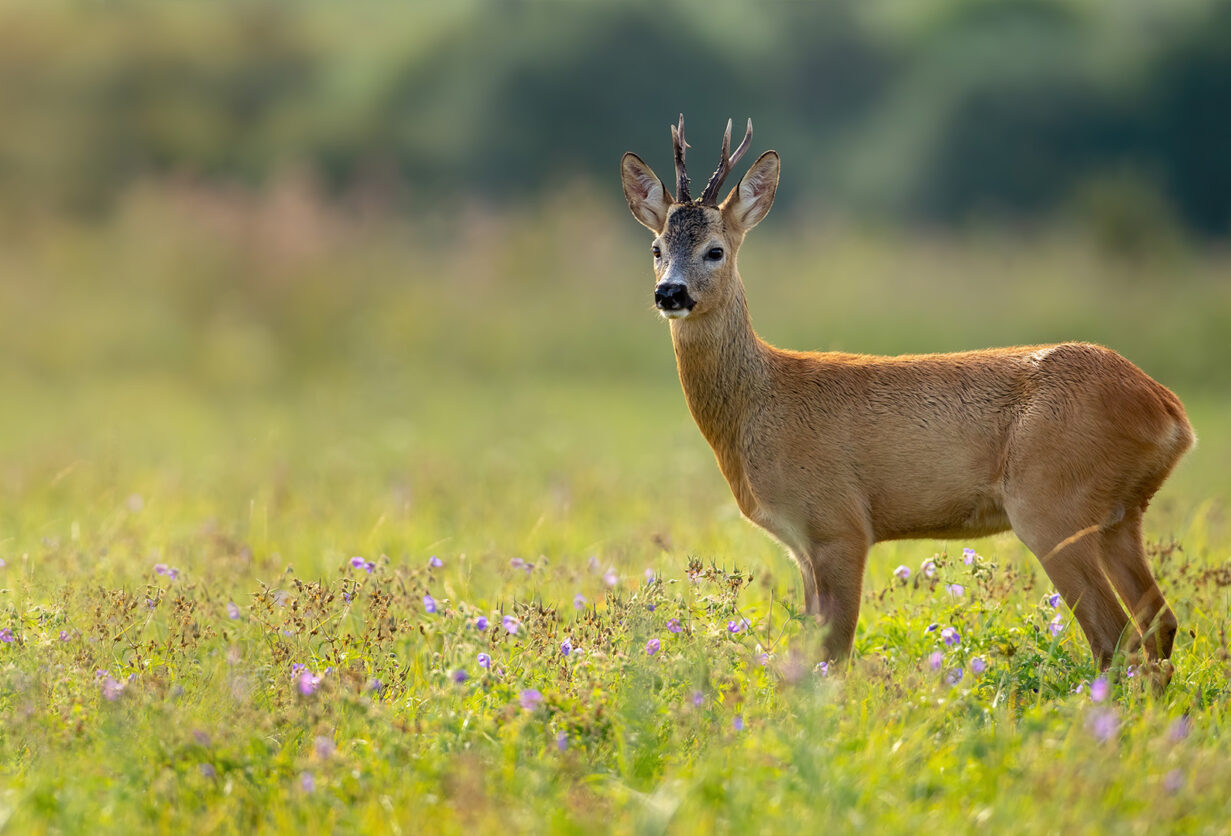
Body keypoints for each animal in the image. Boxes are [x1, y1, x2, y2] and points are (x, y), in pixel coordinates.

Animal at [620, 114, 1186, 669]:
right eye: (656, 248)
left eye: (715, 250)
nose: (670, 292)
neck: (759, 405)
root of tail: (1171, 413)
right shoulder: (802, 544)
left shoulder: (840, 523)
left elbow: (833, 655)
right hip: (1121, 515)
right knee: (1160, 625)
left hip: (1052, 503)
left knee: (1115, 637)